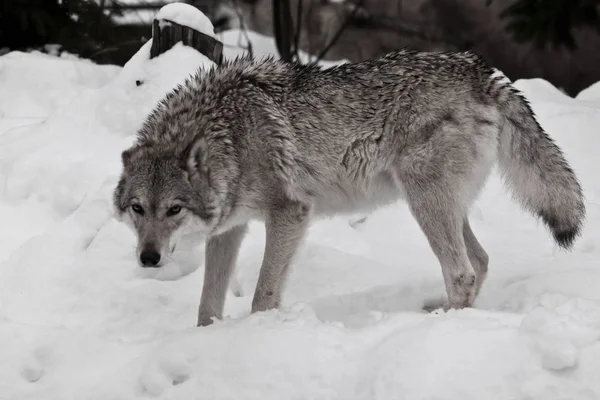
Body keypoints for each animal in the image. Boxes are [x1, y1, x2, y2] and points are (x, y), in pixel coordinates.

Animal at [112, 50, 584, 326]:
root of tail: (482, 71)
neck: (229, 133)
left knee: (463, 271)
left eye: (174, 209)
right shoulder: (230, 228)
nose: (148, 258)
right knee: (481, 261)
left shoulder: (290, 214)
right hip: (441, 205)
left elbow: (264, 295)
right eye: (138, 209)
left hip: (425, 203)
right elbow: (207, 306)